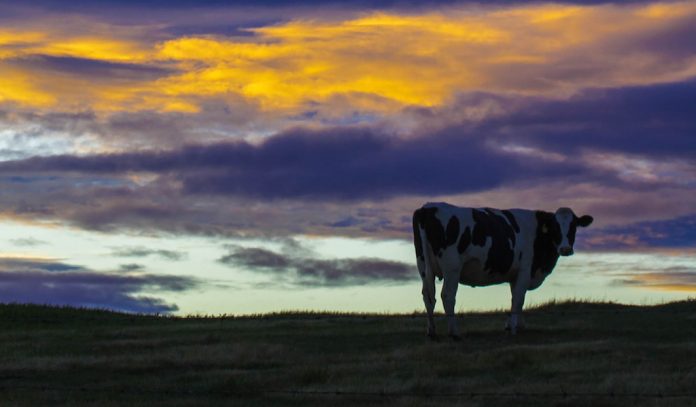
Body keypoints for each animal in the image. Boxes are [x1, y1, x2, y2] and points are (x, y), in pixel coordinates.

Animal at [414, 202, 592, 340]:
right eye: (555, 227)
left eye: (574, 227)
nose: (565, 249)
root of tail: (427, 208)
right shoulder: (525, 270)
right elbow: (519, 298)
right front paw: (512, 328)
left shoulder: (515, 275)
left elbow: (515, 298)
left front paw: (517, 325)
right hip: (452, 267)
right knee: (447, 295)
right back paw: (454, 332)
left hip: (423, 265)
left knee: (427, 296)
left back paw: (431, 332)